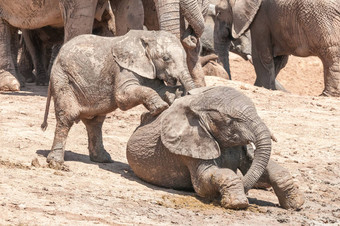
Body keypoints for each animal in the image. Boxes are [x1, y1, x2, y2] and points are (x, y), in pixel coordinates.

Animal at [40, 29, 195, 164]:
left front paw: (175, 95)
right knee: (67, 117)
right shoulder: (123, 68)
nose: (186, 91)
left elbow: (159, 88)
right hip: (63, 77)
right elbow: (122, 97)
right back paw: (56, 163)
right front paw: (160, 107)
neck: (148, 35)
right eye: (166, 58)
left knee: (95, 122)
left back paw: (103, 159)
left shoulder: (148, 68)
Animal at [127, 85, 306, 209]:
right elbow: (205, 181)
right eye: (233, 120)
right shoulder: (189, 146)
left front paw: (296, 204)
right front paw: (238, 204)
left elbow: (260, 167)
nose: (246, 189)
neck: (197, 103)